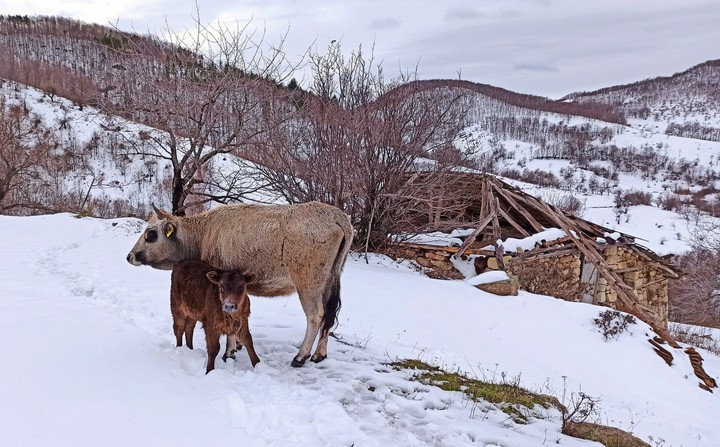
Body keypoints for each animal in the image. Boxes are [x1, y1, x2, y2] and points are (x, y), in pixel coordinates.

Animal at [126, 201, 353, 367]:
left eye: (151, 234)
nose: (130, 256)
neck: (205, 233)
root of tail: (337, 215)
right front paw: (237, 346)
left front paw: (229, 351)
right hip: (329, 279)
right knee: (329, 316)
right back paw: (319, 355)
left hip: (308, 282)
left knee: (316, 315)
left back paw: (301, 357)